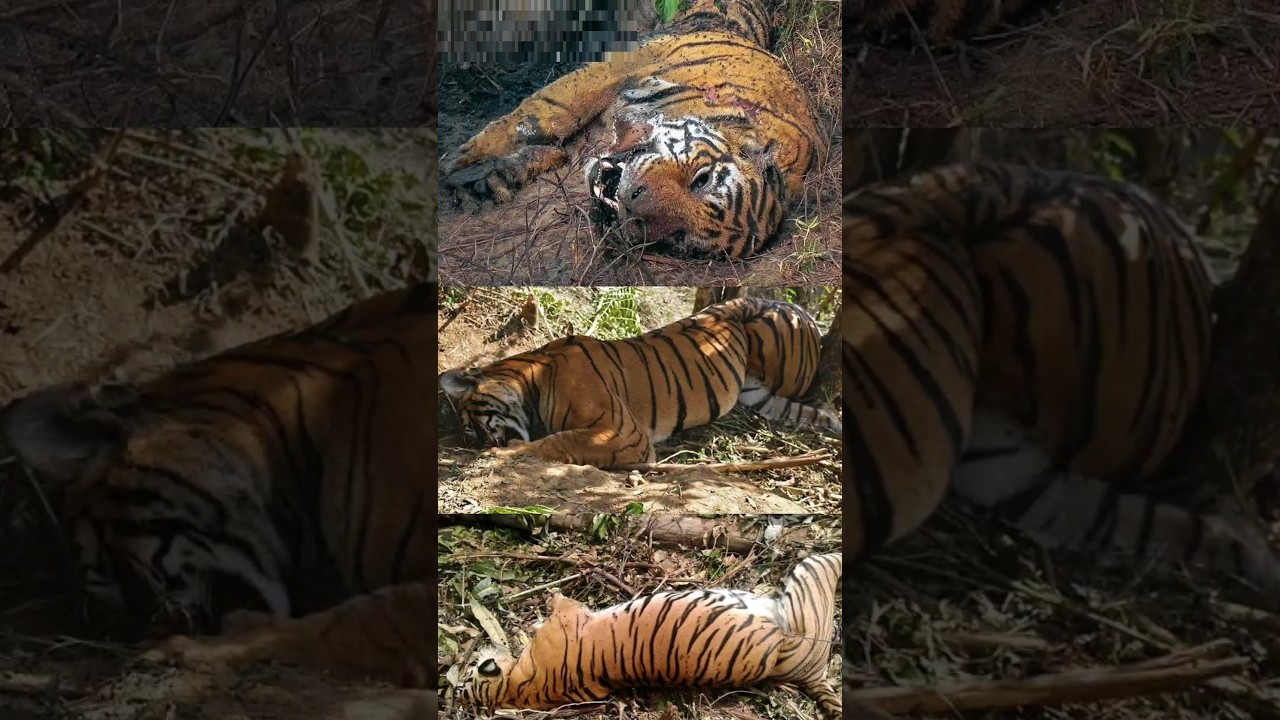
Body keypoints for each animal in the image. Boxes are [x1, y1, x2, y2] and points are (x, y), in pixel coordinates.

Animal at [439, 296, 841, 468]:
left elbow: (557, 441)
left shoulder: (619, 431)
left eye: (474, 425)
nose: (479, 444)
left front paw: (504, 453)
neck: (533, 380)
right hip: (757, 391)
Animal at [441, 0, 822, 260]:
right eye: (701, 181)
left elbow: (553, 151)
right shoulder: (619, 67)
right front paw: (460, 159)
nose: (630, 206)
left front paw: (484, 184)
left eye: (680, 237)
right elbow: (545, 114)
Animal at [455, 552, 843, 719]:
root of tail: (810, 673)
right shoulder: (570, 615)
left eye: (468, 678)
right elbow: (560, 602)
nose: (458, 687)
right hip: (808, 583)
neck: (519, 688)